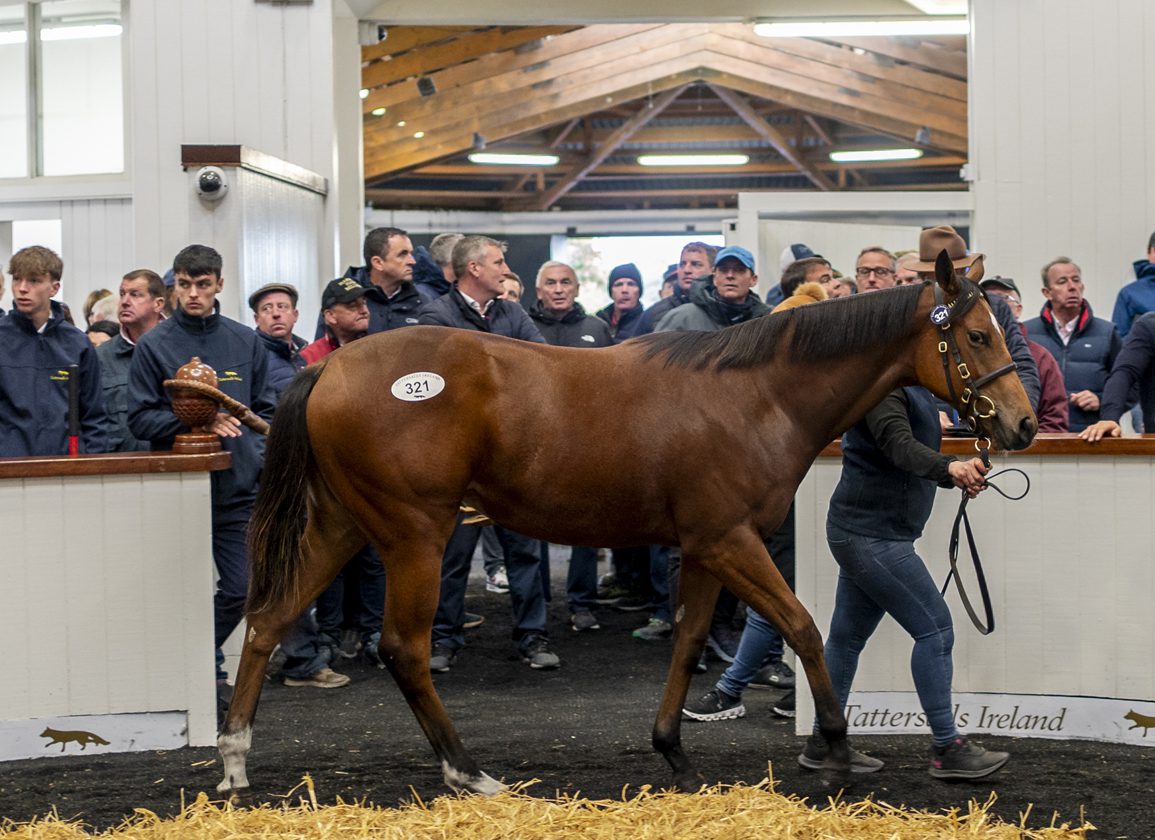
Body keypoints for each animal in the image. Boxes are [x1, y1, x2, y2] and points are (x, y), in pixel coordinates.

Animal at [217, 249, 1039, 794]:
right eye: (976, 336)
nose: (1024, 423)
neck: (756, 394)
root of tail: (330, 365)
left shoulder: (705, 548)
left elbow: (687, 643)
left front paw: (672, 748)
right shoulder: (732, 541)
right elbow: (802, 628)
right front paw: (834, 745)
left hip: (340, 527)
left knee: (267, 622)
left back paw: (234, 761)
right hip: (415, 535)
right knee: (403, 650)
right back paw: (468, 771)